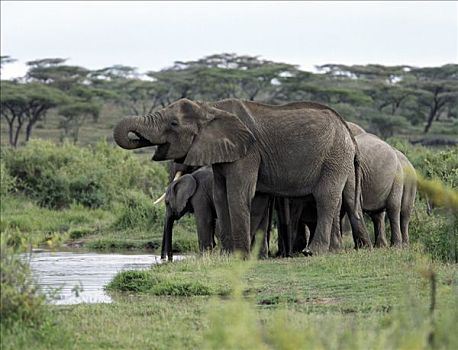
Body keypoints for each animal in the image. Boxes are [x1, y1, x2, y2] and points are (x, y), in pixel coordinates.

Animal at [114, 98, 372, 254]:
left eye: (174, 123)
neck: (211, 108)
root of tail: (347, 129)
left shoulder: (248, 152)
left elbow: (237, 194)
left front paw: (240, 255)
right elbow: (220, 195)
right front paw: (227, 254)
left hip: (333, 155)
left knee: (325, 198)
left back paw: (313, 252)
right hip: (341, 159)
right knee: (348, 200)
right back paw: (350, 249)